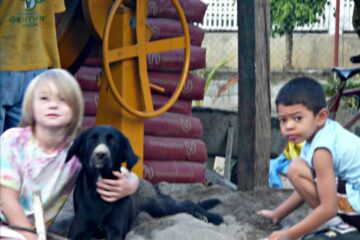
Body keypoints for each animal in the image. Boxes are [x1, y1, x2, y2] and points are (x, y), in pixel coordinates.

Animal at [64, 124, 222, 239]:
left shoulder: (115, 231)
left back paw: (211, 216)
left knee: (187, 204)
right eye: (91, 140)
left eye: (113, 141)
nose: (100, 154)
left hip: (158, 205)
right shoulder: (78, 230)